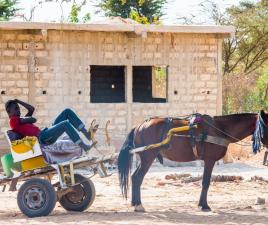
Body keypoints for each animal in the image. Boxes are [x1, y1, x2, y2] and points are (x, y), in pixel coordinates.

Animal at [118, 111, 268, 212]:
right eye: (267, 125)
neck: (221, 129)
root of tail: (139, 126)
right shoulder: (209, 160)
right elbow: (206, 182)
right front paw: (204, 205)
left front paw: (202, 204)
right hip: (148, 157)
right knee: (138, 177)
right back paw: (138, 205)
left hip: (144, 158)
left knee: (134, 177)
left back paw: (134, 202)